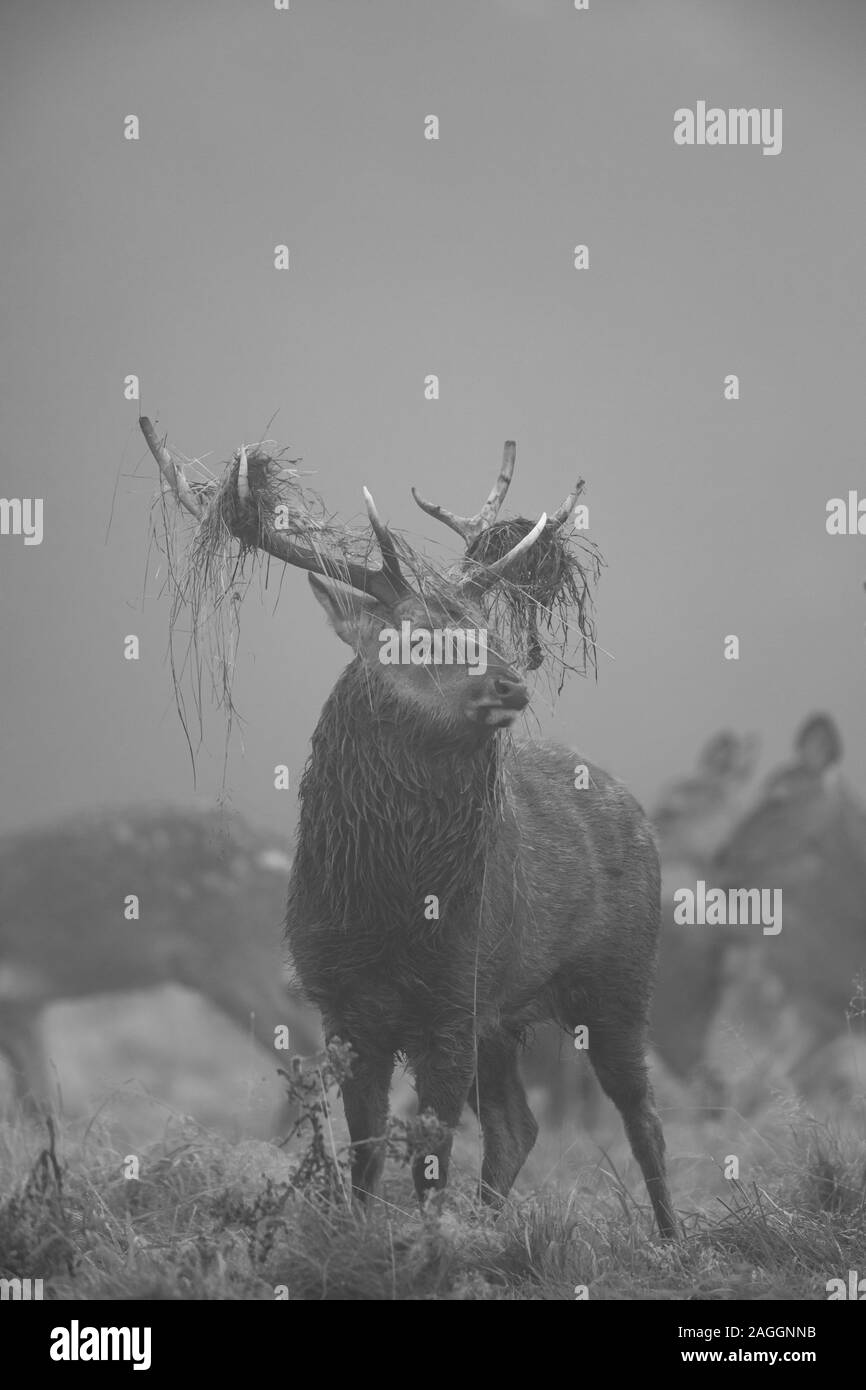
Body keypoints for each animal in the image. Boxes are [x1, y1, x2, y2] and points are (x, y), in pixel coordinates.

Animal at [153, 430, 676, 1236]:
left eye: (487, 630)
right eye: (417, 638)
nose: (511, 683)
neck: (390, 908)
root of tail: (634, 807)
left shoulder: (452, 1000)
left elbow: (431, 1154)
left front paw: (430, 1242)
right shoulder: (341, 1005)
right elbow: (368, 1151)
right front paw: (367, 1233)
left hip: (620, 977)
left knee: (640, 1112)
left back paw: (673, 1239)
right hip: (505, 1014)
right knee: (518, 1124)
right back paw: (493, 1226)